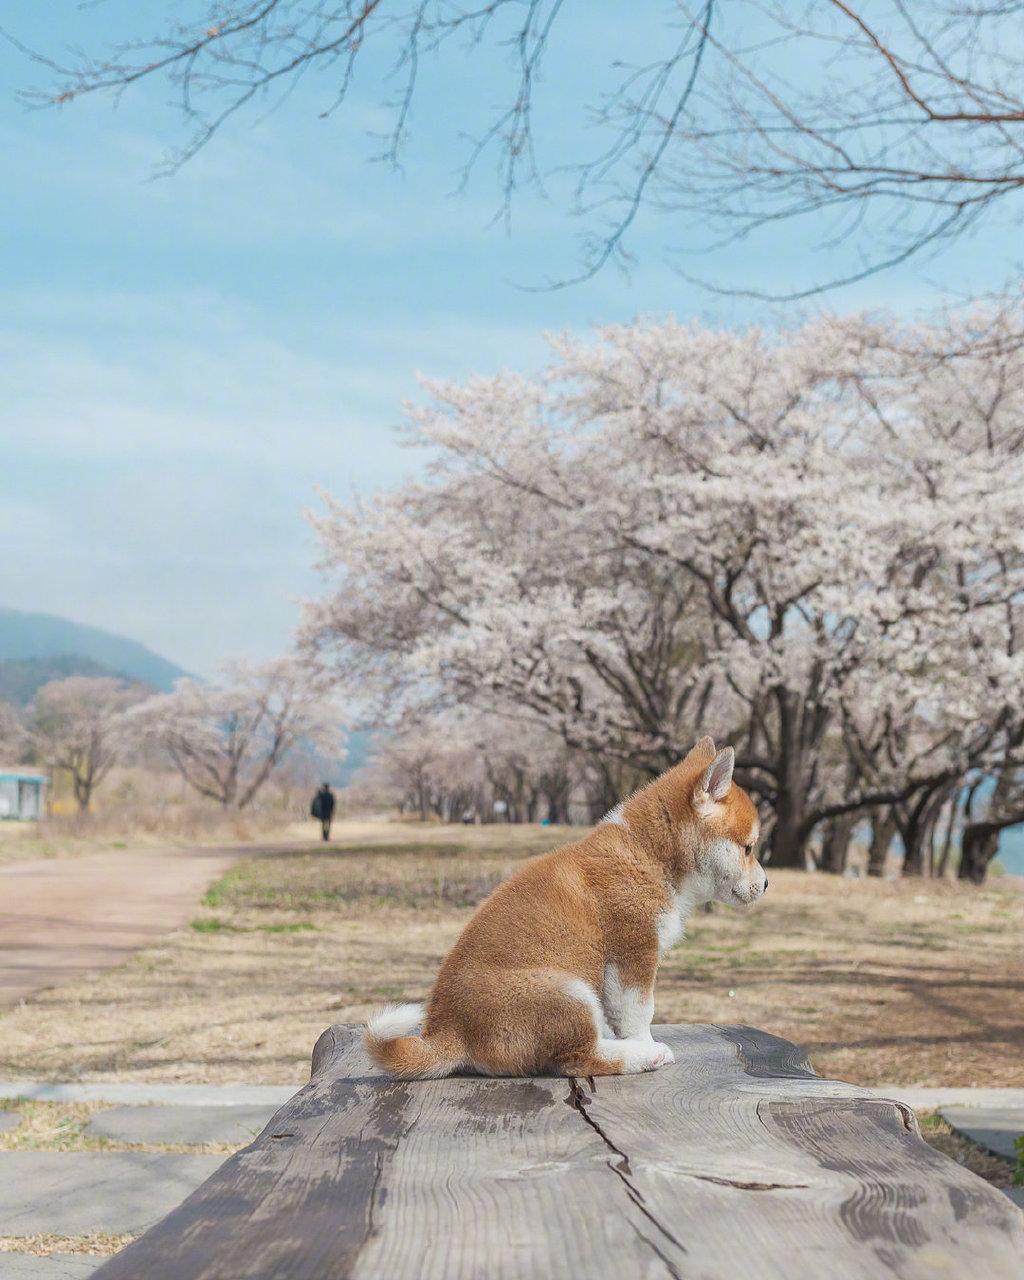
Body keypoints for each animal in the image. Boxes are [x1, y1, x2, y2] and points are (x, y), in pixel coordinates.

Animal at [363, 737, 762, 1075]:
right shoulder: (634, 954)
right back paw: (642, 1056)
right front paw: (644, 1043)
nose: (768, 883)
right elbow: (639, 1013)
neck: (648, 854)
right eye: (749, 848)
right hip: (567, 992)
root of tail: (448, 1033)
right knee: (578, 1058)